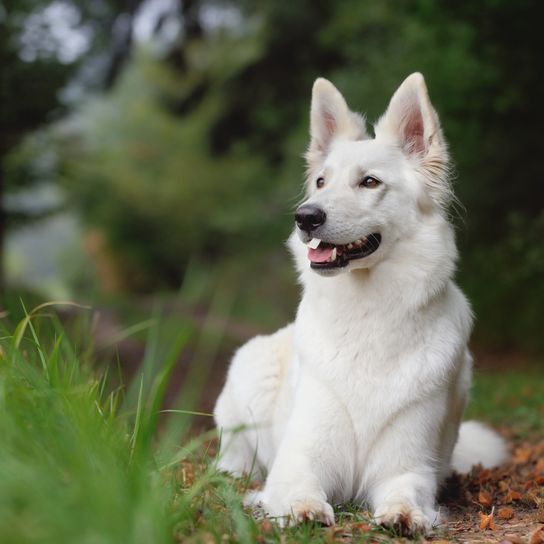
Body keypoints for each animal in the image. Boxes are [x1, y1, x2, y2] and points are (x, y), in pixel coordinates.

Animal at [211, 73, 506, 536]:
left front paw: (404, 515)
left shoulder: (407, 467)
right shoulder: (298, 459)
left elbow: (406, 492)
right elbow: (297, 487)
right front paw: (303, 509)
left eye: (370, 182)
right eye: (320, 182)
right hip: (249, 373)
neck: (369, 311)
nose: (305, 217)